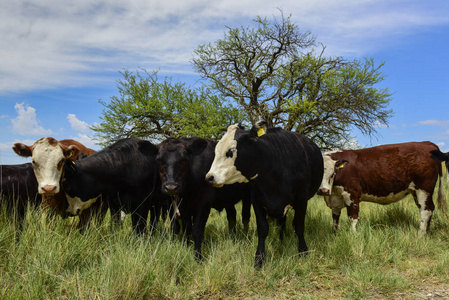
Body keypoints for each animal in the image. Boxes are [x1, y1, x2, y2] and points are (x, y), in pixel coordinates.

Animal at [205, 122, 324, 268]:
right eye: (216, 150)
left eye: (230, 151)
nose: (209, 177)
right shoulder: (257, 201)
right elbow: (262, 229)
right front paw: (259, 259)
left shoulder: (302, 200)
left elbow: (299, 226)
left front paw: (303, 252)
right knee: (281, 222)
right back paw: (281, 241)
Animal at [316, 141, 446, 234]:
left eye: (332, 173)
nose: (323, 191)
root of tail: (427, 143)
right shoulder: (335, 199)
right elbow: (335, 218)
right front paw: (335, 234)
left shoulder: (352, 193)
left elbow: (353, 217)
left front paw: (353, 235)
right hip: (416, 191)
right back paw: (426, 232)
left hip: (424, 189)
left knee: (426, 210)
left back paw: (421, 234)